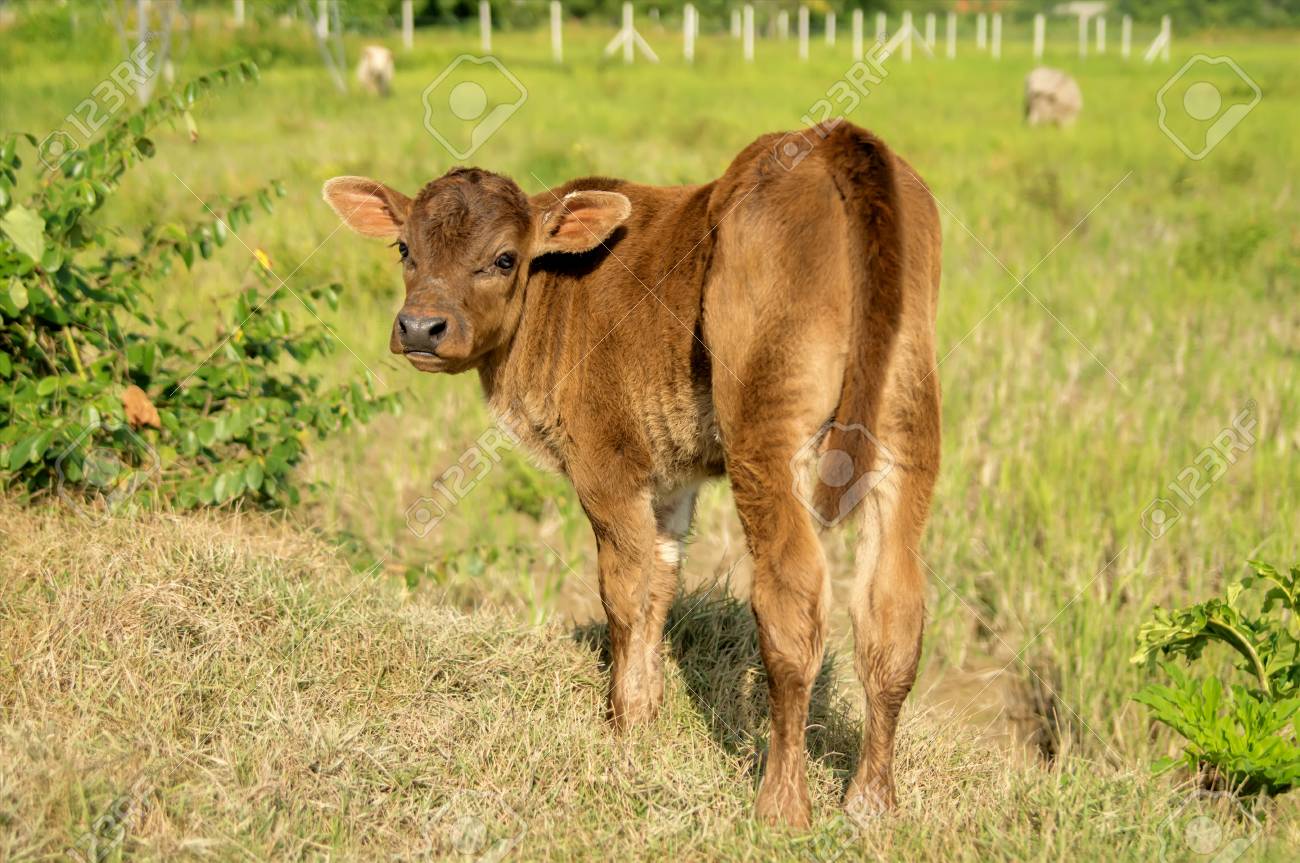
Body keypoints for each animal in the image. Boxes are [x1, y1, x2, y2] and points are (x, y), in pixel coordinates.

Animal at [322, 120, 942, 827]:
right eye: (404, 247)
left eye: (505, 258)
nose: (421, 327)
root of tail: (831, 138)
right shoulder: (670, 477)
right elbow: (659, 584)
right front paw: (645, 716)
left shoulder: (605, 464)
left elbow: (622, 591)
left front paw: (621, 728)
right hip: (908, 429)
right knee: (892, 610)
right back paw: (873, 803)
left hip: (768, 429)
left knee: (793, 602)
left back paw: (781, 806)